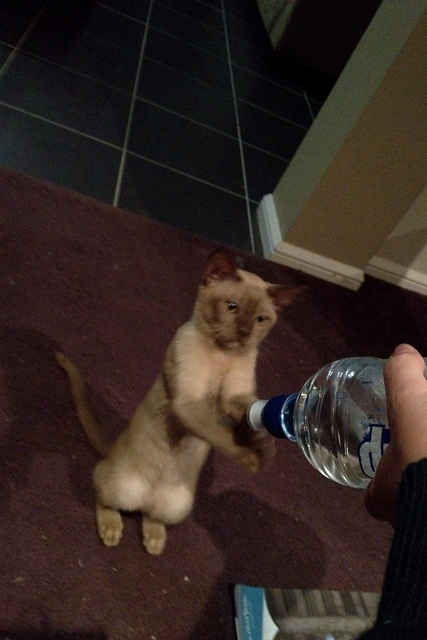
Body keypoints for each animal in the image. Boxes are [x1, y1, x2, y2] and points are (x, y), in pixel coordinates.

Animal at [56, 248, 305, 555]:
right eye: (232, 307)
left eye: (261, 319)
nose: (245, 332)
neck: (222, 354)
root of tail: (114, 447)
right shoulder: (188, 403)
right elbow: (221, 433)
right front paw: (252, 458)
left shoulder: (235, 397)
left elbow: (252, 409)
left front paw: (265, 440)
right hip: (120, 486)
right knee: (104, 495)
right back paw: (112, 530)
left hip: (178, 506)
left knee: (151, 515)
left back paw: (154, 541)